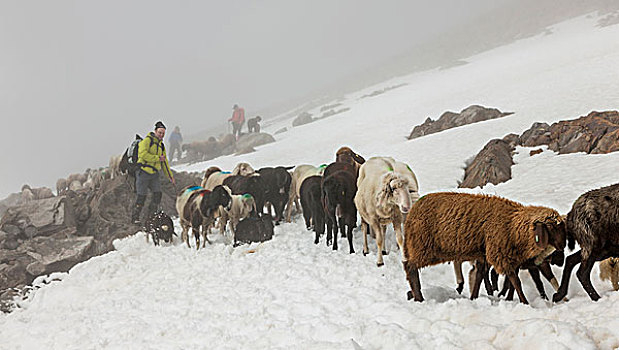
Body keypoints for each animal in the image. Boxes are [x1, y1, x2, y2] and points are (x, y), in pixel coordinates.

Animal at [404, 193, 568, 304]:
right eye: (551, 228)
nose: (563, 246)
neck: (512, 225)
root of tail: (412, 212)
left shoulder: (494, 256)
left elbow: (481, 277)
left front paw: (474, 298)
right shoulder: (500, 255)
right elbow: (516, 282)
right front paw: (525, 302)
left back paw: (412, 294)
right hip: (422, 247)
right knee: (410, 267)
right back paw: (418, 297)